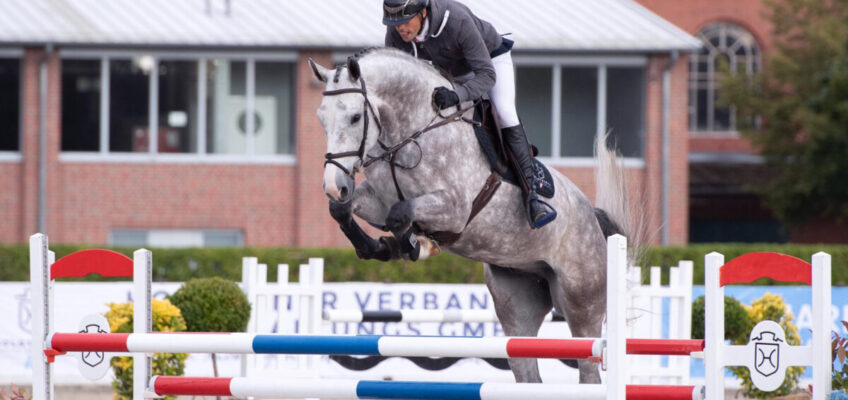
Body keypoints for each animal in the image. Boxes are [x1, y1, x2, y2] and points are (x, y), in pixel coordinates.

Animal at [310, 48, 628, 382]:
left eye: (355, 117)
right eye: (321, 118)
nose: (333, 185)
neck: (410, 134)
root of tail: (594, 220)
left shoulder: (455, 210)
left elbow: (401, 215)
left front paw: (415, 246)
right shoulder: (377, 201)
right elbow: (343, 210)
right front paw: (377, 247)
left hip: (581, 305)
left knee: (588, 366)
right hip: (517, 302)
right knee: (527, 371)